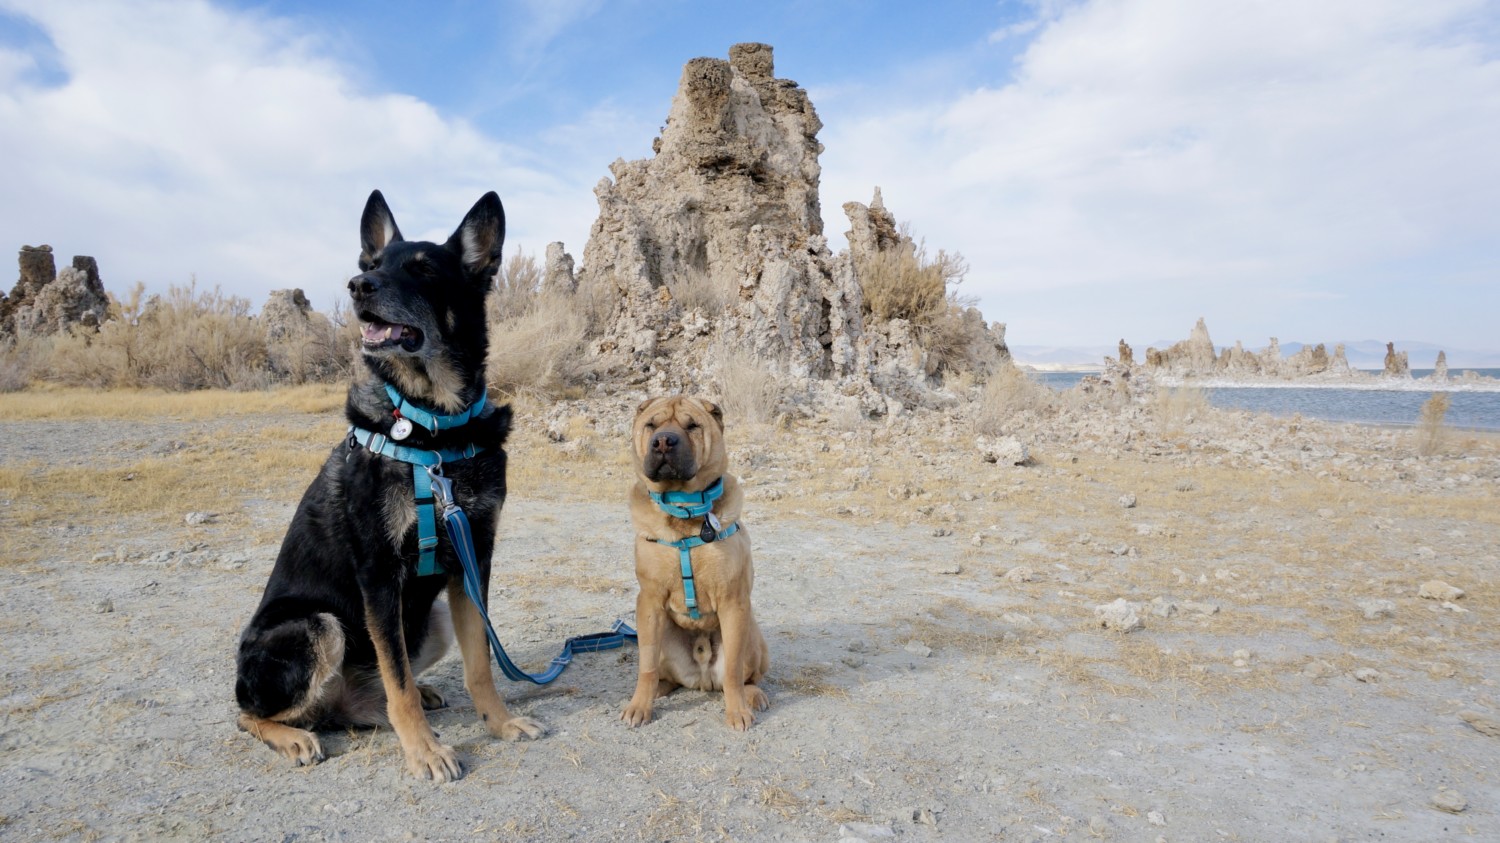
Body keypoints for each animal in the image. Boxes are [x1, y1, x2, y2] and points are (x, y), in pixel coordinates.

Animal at [231, 186, 543, 780]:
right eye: (371, 266)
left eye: (422, 270)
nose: (358, 287)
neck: (434, 428)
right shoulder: (379, 575)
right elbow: (397, 679)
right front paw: (424, 751)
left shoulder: (474, 562)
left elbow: (479, 664)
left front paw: (499, 721)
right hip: (317, 625)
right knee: (247, 713)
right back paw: (294, 736)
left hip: (432, 617)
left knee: (365, 699)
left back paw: (413, 699)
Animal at [621, 396, 774, 729]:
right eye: (651, 425)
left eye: (692, 425)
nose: (663, 441)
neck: (684, 508)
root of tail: (702, 677)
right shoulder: (649, 603)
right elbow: (646, 667)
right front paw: (639, 705)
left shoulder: (733, 602)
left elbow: (732, 672)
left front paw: (737, 711)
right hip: (662, 634)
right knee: (663, 673)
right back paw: (660, 689)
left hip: (752, 635)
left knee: (746, 677)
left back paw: (753, 695)